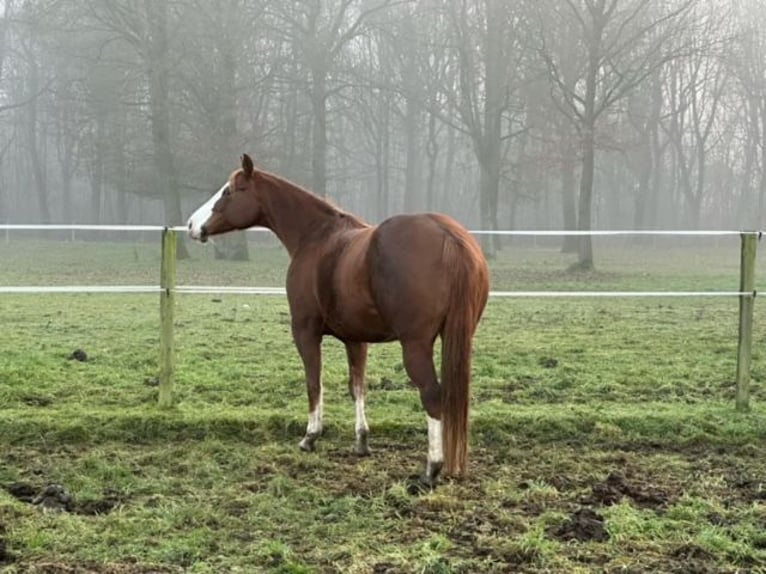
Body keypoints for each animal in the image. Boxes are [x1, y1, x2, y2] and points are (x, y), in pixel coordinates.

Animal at [186, 154, 488, 486]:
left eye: (229, 191)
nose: (191, 225)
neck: (317, 236)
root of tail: (449, 236)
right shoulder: (355, 339)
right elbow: (357, 387)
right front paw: (362, 442)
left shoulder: (305, 332)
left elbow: (313, 383)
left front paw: (310, 437)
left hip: (416, 346)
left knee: (432, 396)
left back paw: (432, 468)